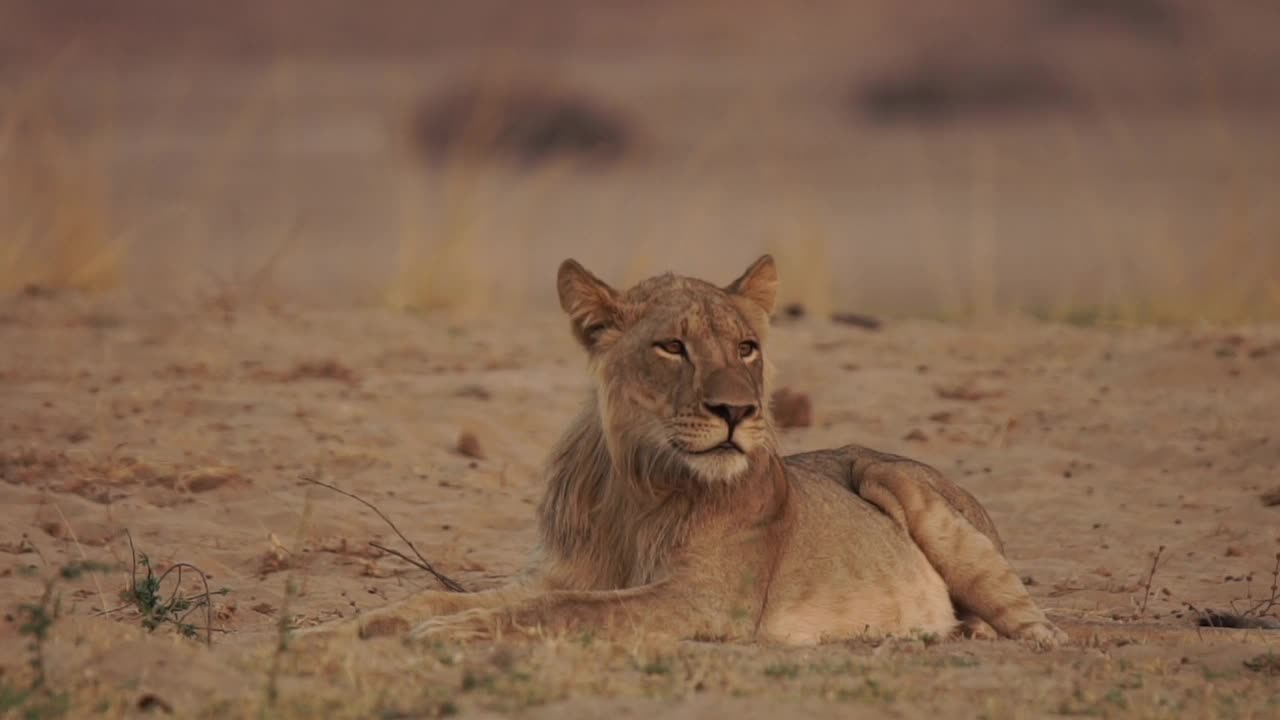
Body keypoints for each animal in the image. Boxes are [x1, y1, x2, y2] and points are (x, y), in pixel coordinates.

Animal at [304, 256, 1064, 645]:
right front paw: (342, 631)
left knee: (1030, 623)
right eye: (673, 346)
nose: (737, 411)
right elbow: (438, 596)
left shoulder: (707, 602)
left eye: (748, 347)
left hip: (908, 492)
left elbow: (569, 611)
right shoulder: (555, 572)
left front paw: (444, 632)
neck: (637, 486)